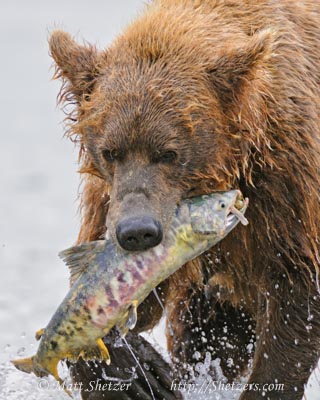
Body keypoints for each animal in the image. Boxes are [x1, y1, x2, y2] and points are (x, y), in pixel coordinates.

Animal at [48, 0, 318, 400]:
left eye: (169, 152)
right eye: (111, 152)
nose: (136, 231)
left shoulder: (286, 185)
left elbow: (296, 292)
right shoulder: (109, 199)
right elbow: (115, 289)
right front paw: (138, 375)